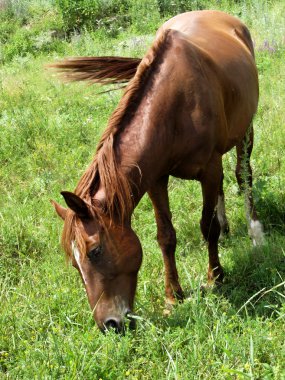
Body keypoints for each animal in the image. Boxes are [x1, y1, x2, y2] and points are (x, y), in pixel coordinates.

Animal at [50, 9, 262, 332]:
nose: (109, 324)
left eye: (95, 251)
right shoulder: (156, 179)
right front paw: (173, 296)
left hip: (245, 130)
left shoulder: (208, 169)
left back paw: (255, 232)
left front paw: (215, 278)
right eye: (75, 263)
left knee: (243, 175)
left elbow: (207, 226)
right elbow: (166, 236)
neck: (175, 107)